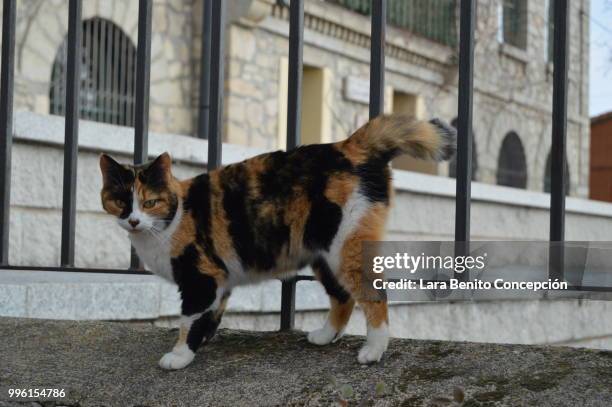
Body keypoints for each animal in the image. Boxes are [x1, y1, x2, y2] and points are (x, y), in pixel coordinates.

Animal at [99, 114, 454, 370]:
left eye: (150, 202)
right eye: (119, 201)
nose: (133, 220)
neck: (170, 220)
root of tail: (348, 145)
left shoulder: (200, 277)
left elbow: (188, 319)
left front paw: (180, 355)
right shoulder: (220, 279)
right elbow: (212, 313)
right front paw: (204, 339)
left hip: (345, 245)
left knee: (373, 293)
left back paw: (374, 350)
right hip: (322, 253)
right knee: (342, 296)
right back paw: (325, 336)